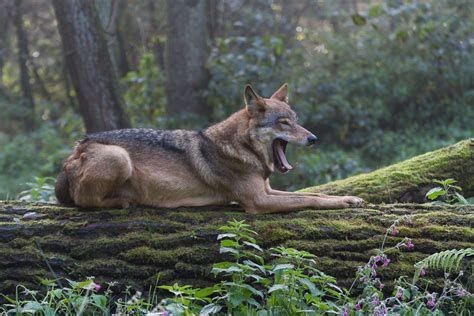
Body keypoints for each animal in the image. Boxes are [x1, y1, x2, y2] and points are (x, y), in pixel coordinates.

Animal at [55, 84, 364, 214]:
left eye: (297, 120)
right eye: (284, 123)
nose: (313, 138)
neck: (242, 149)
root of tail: (76, 149)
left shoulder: (267, 190)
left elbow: (315, 193)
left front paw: (349, 198)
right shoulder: (257, 201)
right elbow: (308, 199)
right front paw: (341, 203)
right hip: (119, 158)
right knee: (84, 202)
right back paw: (123, 202)